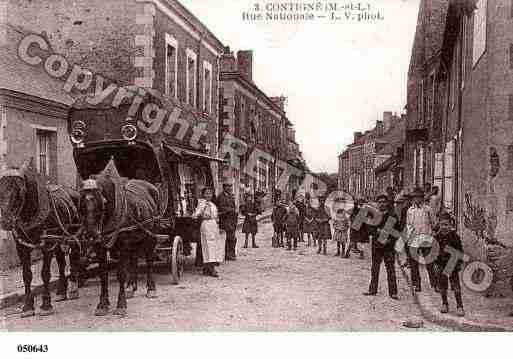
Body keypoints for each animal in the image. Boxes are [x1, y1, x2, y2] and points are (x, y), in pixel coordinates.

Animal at [0, 165, 81, 316]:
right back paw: (61, 291)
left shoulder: (47, 245)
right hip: (58, 239)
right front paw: (27, 306)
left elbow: (45, 274)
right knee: (61, 263)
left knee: (74, 257)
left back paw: (73, 288)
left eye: (20, 191)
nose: (6, 221)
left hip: (73, 236)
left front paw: (46, 304)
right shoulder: (21, 247)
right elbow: (26, 275)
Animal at [77, 175, 158, 318]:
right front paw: (102, 304)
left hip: (150, 234)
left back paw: (151, 288)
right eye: (82, 204)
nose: (91, 234)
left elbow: (121, 274)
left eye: (100, 203)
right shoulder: (100, 248)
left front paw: (121, 305)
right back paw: (131, 287)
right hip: (134, 240)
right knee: (134, 259)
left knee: (149, 260)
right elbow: (103, 274)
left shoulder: (123, 245)